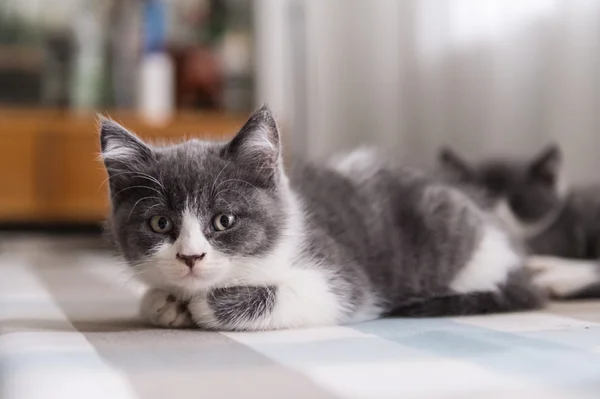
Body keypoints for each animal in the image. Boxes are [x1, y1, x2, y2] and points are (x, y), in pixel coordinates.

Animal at [99, 106, 544, 332]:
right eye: (160, 224)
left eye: (224, 220)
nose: (190, 257)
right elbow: (151, 299)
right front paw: (164, 302)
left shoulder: (340, 278)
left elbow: (317, 294)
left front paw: (202, 306)